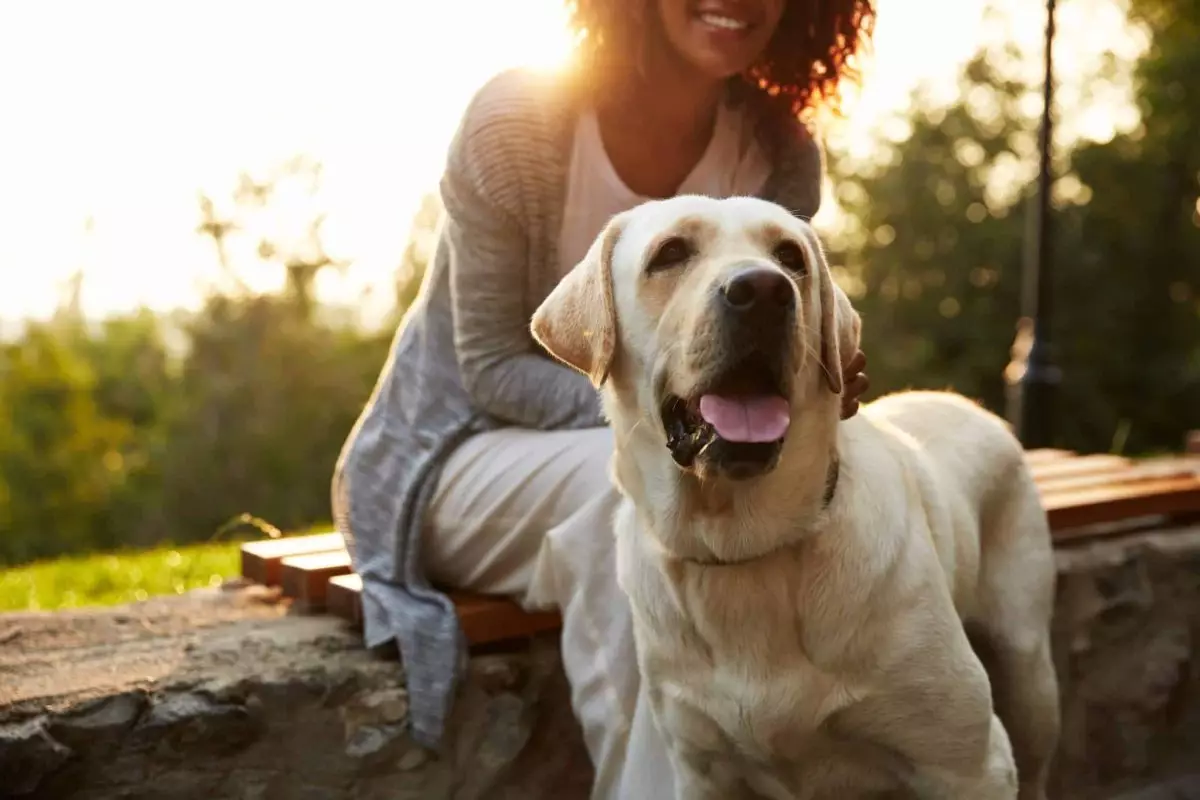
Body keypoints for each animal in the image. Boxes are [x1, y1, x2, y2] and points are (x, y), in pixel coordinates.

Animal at [535, 195, 1060, 800]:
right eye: (670, 253)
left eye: (790, 257)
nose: (764, 289)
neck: (742, 549)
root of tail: (971, 405)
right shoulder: (702, 769)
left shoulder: (968, 762)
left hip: (1028, 670)